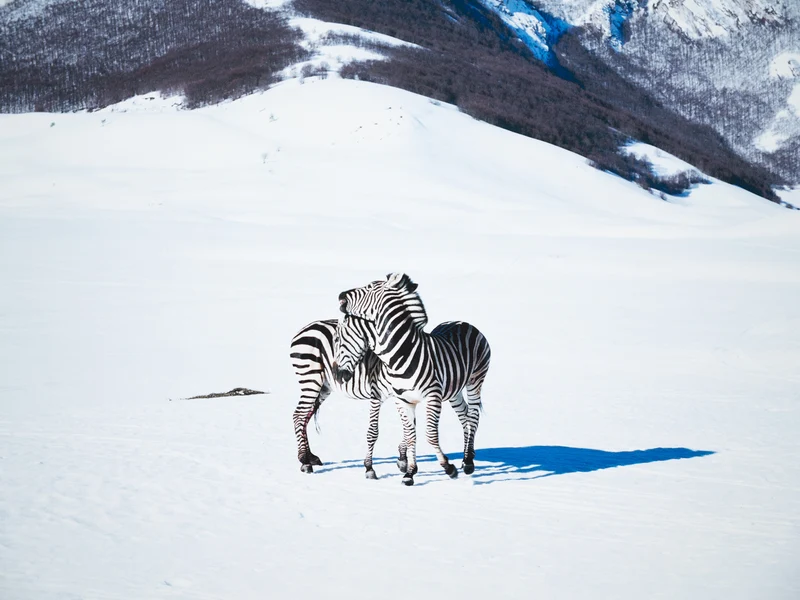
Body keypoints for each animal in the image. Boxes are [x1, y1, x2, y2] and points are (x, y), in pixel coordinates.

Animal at [335, 273, 491, 486]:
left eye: (369, 287)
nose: (340, 295)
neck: (398, 355)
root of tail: (462, 322)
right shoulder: (402, 400)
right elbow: (410, 435)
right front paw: (409, 472)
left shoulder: (432, 397)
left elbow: (430, 435)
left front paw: (447, 467)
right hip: (453, 390)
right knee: (465, 415)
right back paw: (468, 456)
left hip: (475, 380)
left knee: (473, 415)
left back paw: (467, 462)